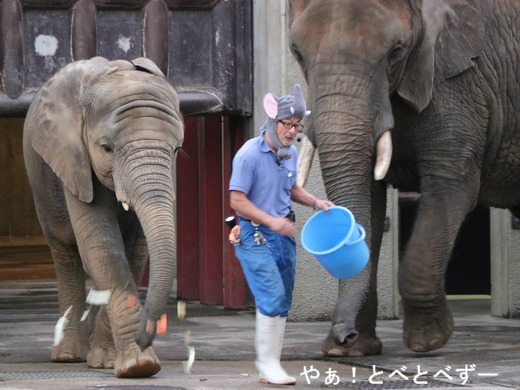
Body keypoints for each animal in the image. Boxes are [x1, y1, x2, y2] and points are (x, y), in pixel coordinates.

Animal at [22, 56, 185, 376]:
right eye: (107, 148)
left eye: (176, 149)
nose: (148, 335)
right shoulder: (74, 162)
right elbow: (103, 248)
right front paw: (138, 366)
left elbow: (134, 252)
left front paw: (117, 362)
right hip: (42, 189)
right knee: (67, 255)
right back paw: (68, 356)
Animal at [288, 0, 520, 354]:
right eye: (297, 52)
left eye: (396, 51)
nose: (344, 335)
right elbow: (370, 198)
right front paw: (353, 350)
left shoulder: (460, 85)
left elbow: (450, 187)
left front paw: (428, 341)